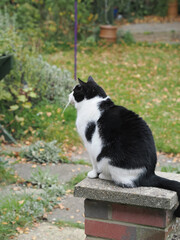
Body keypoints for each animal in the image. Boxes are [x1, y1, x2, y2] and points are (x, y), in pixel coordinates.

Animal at [68, 76, 180, 217]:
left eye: (75, 91)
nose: (68, 95)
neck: (95, 103)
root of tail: (149, 174)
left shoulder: (90, 145)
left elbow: (93, 163)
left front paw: (93, 174)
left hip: (107, 158)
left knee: (120, 179)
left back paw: (104, 176)